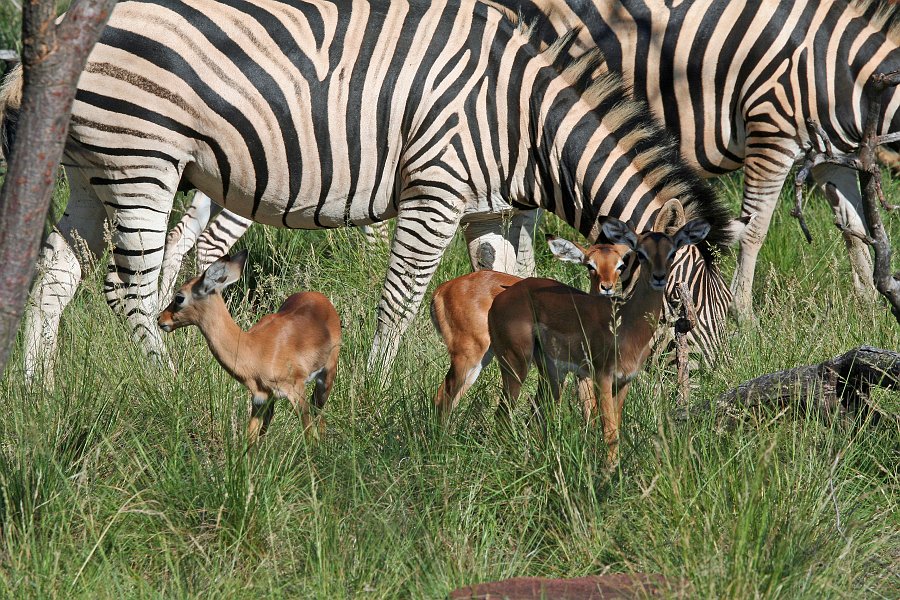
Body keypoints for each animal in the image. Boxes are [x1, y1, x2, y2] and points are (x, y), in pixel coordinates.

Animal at [0, 0, 744, 384]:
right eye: (679, 312)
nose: (705, 401)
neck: (524, 119)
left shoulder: (489, 211)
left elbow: (505, 289)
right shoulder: (435, 188)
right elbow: (400, 302)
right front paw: (376, 389)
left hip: (89, 164)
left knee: (57, 274)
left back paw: (38, 388)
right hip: (142, 158)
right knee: (126, 289)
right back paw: (168, 386)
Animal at [486, 0, 900, 318]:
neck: (837, 71)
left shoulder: (830, 153)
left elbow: (851, 227)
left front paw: (867, 305)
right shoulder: (770, 132)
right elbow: (754, 231)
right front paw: (743, 315)